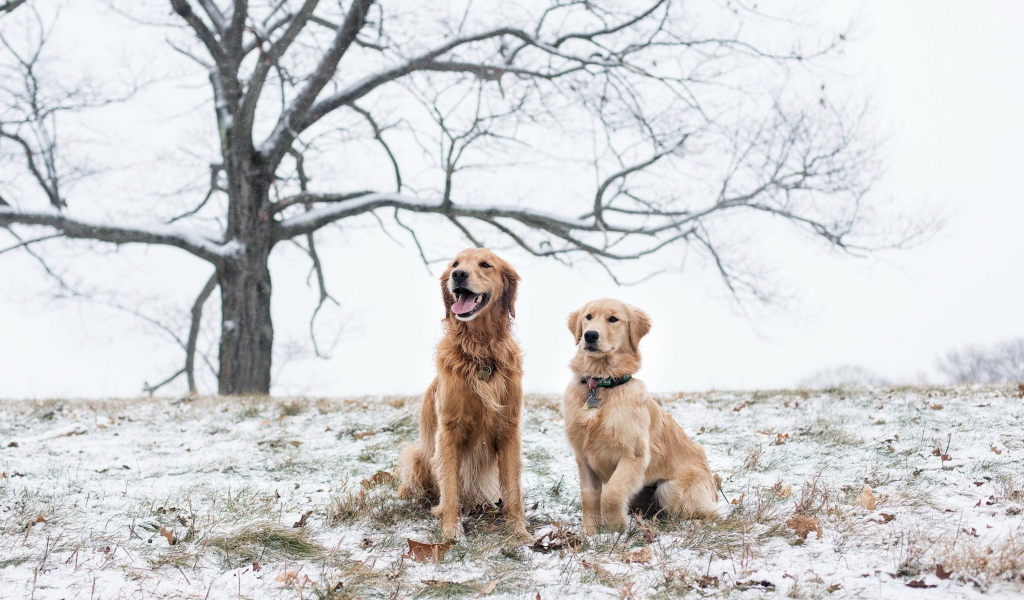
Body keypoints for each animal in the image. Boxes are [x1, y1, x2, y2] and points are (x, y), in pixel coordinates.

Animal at [397, 245, 532, 540]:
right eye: (455, 264)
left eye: (485, 264)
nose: (458, 274)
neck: (481, 351)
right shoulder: (448, 431)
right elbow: (450, 489)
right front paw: (452, 530)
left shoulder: (509, 429)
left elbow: (513, 491)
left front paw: (519, 532)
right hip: (417, 456)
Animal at [561, 298, 720, 532]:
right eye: (588, 317)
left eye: (613, 319)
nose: (590, 335)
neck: (602, 384)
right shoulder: (583, 457)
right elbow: (589, 497)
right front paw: (589, 533)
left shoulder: (633, 456)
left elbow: (611, 494)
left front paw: (617, 528)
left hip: (670, 489)